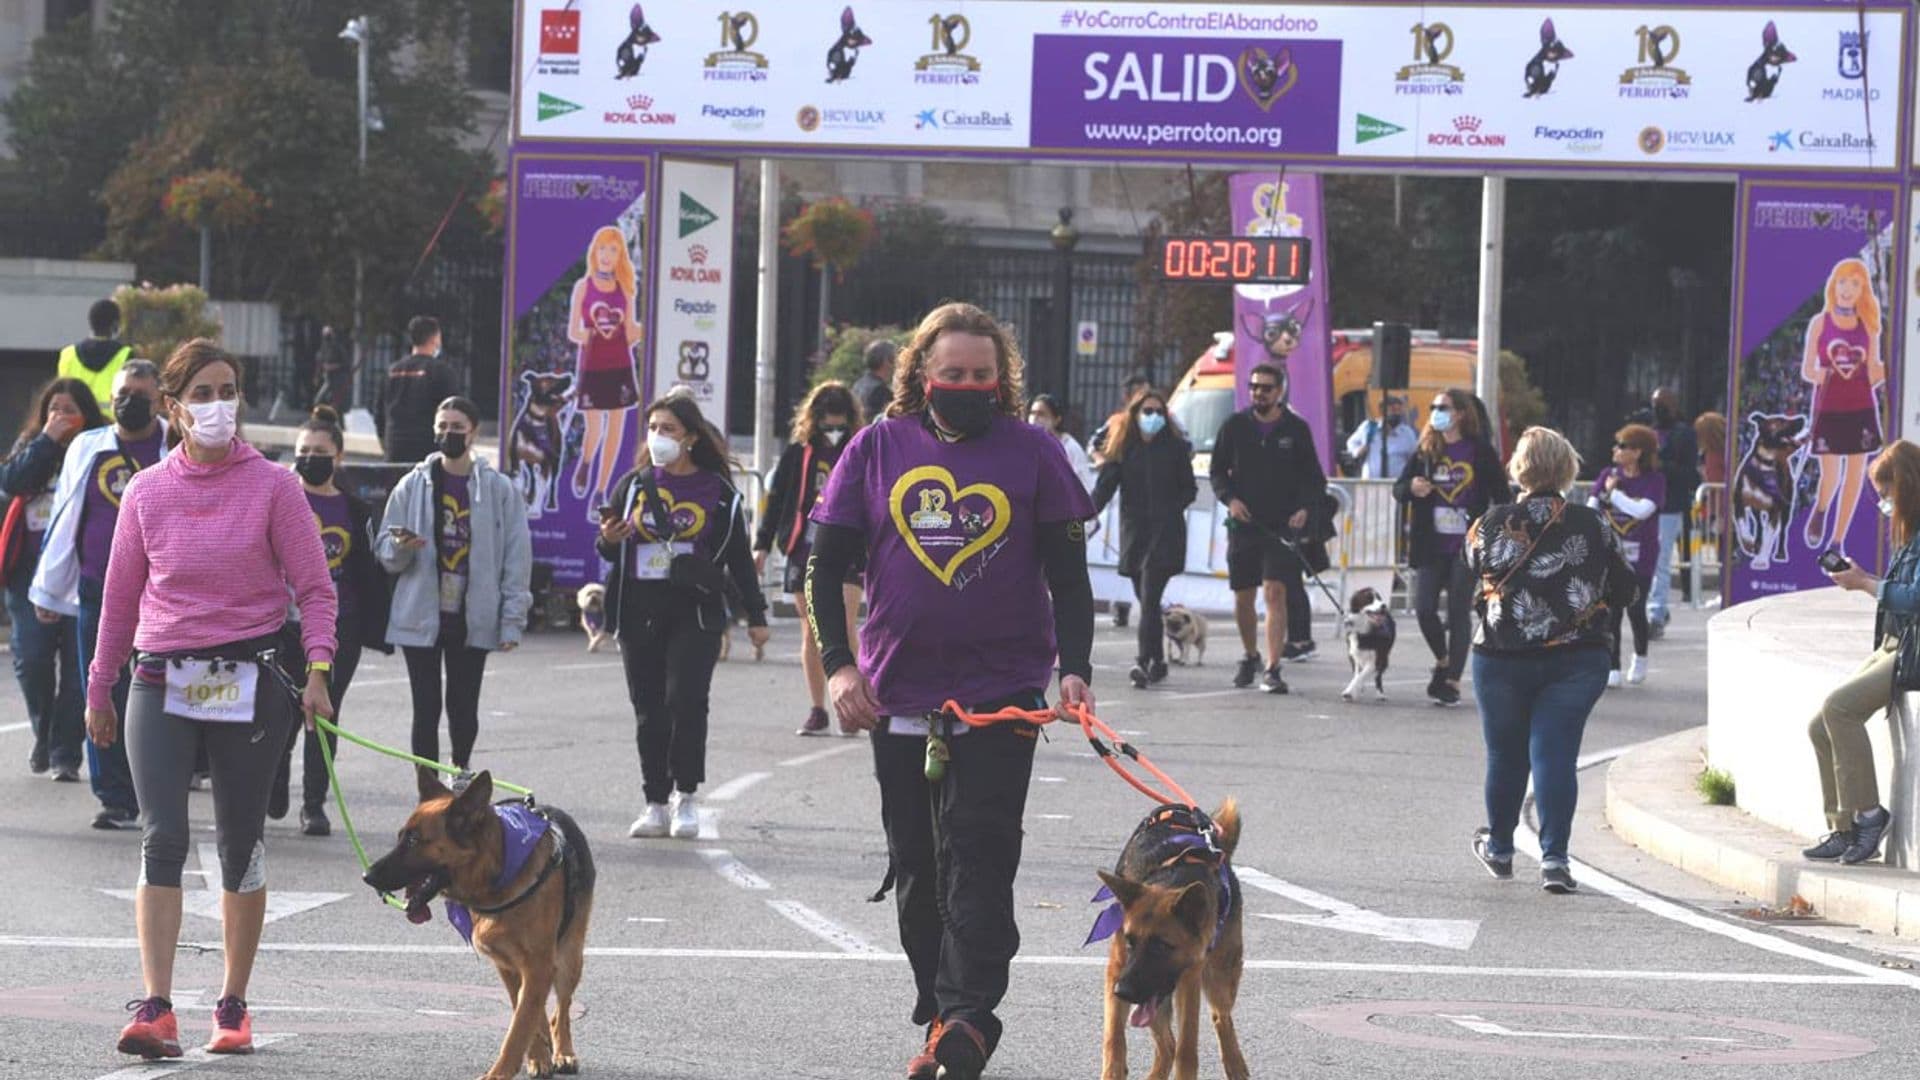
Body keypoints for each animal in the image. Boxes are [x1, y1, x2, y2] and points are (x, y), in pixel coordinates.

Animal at [362, 764, 591, 1076]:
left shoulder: (538, 965)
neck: (499, 875)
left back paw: (563, 1052)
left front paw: (499, 1073)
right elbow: (524, 1017)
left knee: (562, 1008)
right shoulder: (509, 967)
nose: (367, 876)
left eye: (413, 840)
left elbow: (519, 1027)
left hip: (569, 959)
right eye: (401, 836)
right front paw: (535, 1056)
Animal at [1098, 795, 1244, 1076]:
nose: (1123, 992)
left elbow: (1187, 1050)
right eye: (1130, 942)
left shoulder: (1189, 979)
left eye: (1162, 946)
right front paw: (1114, 1069)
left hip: (1219, 977)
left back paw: (1235, 1063)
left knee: (1221, 1017)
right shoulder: (1116, 969)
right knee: (1168, 1045)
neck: (1172, 877)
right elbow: (1114, 1041)